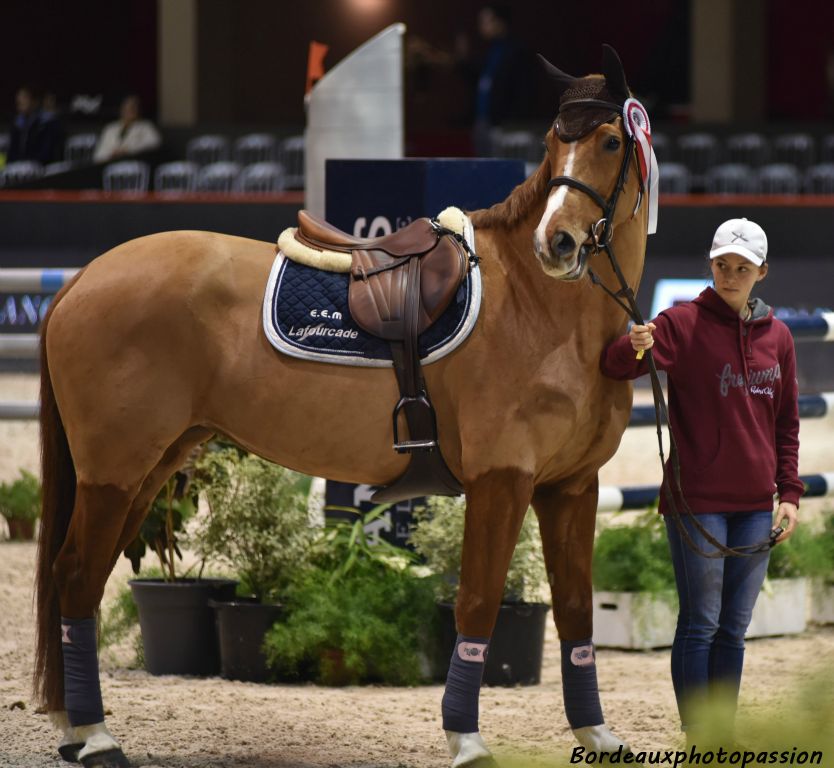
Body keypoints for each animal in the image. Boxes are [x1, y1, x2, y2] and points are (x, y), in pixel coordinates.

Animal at [35, 49, 648, 768]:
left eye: (610, 142)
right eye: (555, 144)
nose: (557, 244)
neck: (538, 307)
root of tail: (82, 279)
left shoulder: (572, 488)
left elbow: (575, 607)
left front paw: (597, 734)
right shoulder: (502, 482)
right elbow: (476, 603)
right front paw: (466, 740)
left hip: (147, 470)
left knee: (81, 577)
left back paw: (78, 731)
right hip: (114, 473)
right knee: (76, 578)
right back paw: (97, 737)